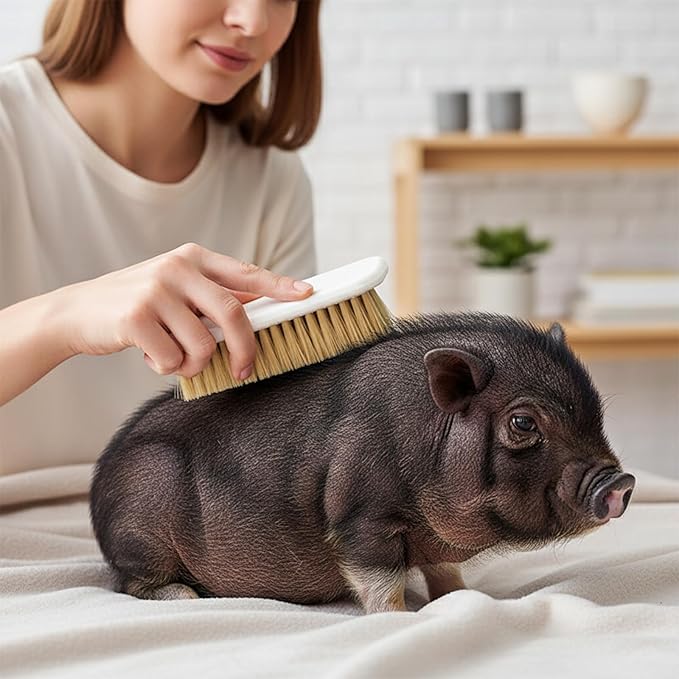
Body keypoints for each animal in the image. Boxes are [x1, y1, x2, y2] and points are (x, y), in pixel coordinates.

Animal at [89, 312, 635, 613]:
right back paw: (188, 598)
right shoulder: (360, 517)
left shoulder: (429, 539)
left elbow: (444, 572)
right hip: (141, 532)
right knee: (129, 584)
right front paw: (403, 618)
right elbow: (380, 582)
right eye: (523, 424)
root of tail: (98, 487)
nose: (621, 480)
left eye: (596, 413)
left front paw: (460, 599)